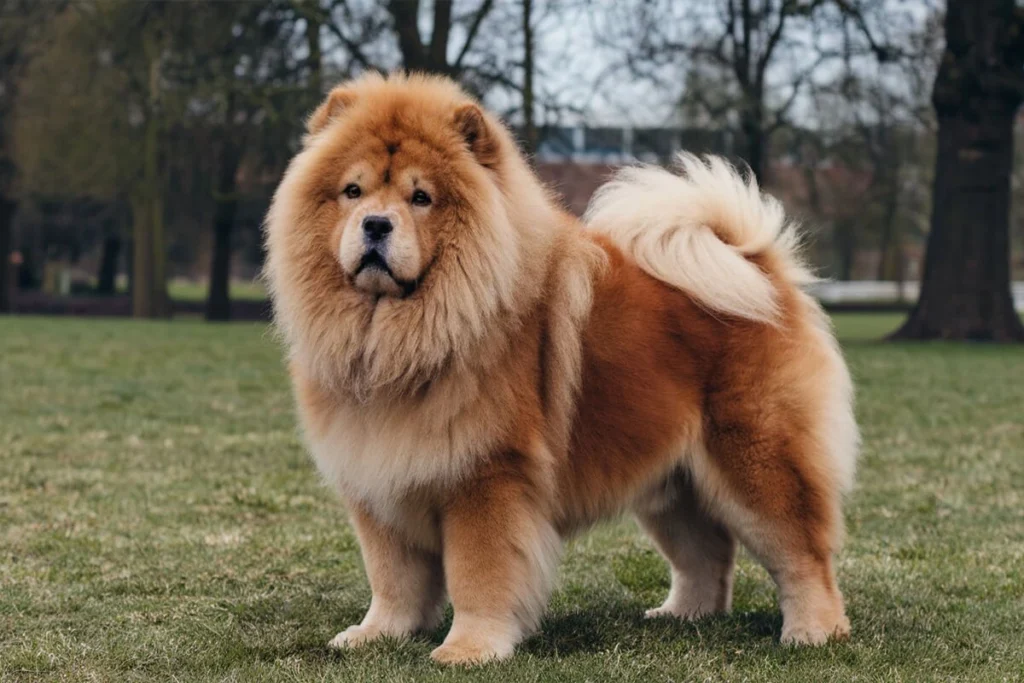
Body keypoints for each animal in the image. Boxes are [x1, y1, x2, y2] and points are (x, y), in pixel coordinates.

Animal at [262, 72, 856, 663]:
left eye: (421, 197)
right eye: (353, 192)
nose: (376, 224)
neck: (397, 340)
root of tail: (759, 270)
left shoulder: (486, 476)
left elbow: (478, 575)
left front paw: (468, 648)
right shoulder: (379, 477)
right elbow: (392, 578)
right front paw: (376, 634)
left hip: (757, 461)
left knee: (802, 553)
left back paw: (814, 631)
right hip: (672, 479)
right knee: (706, 553)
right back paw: (682, 616)